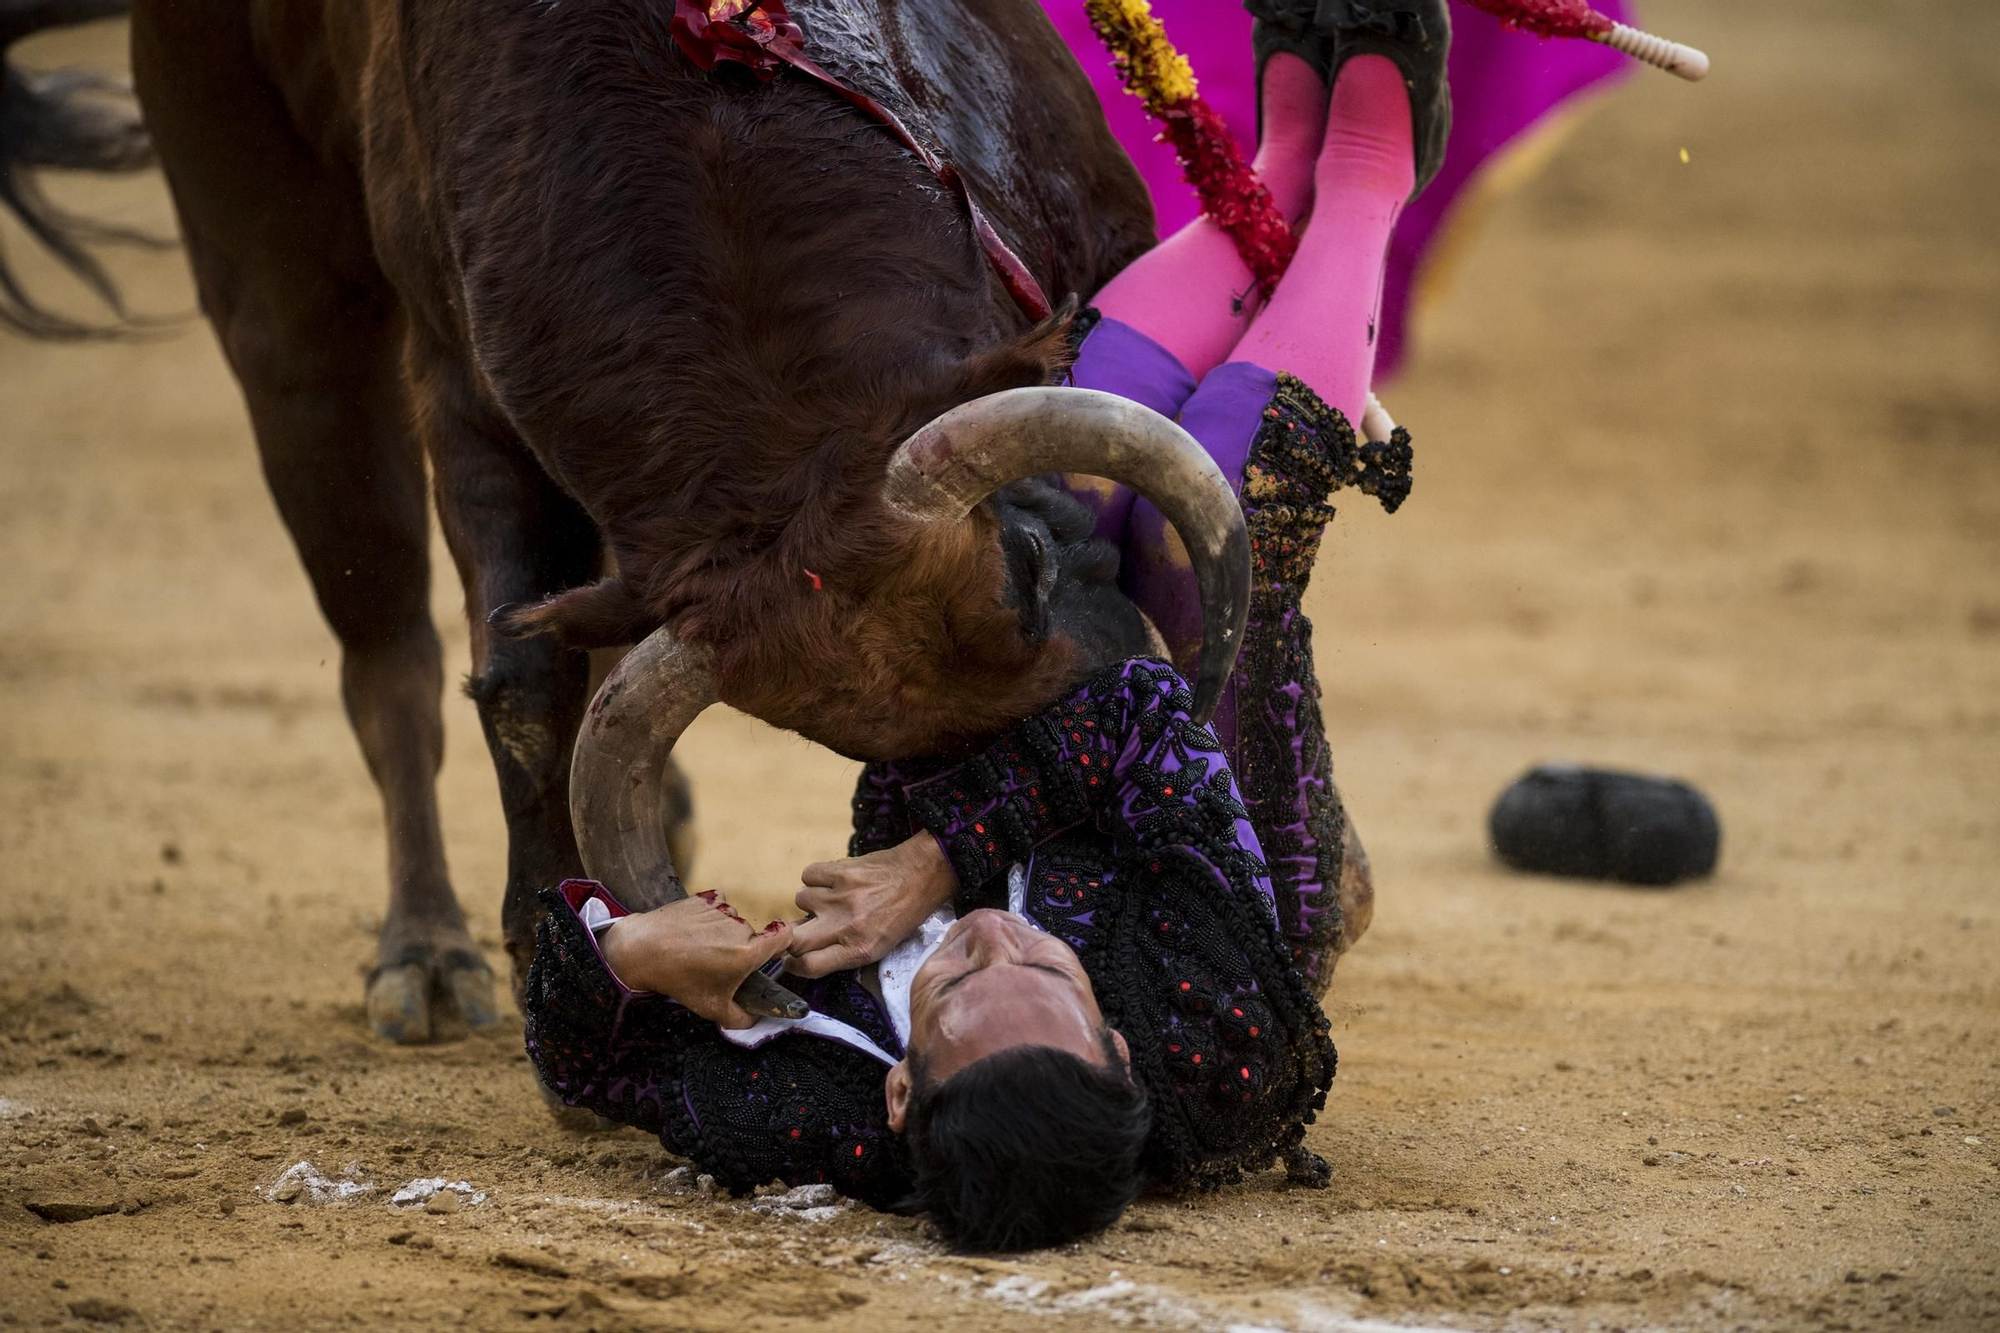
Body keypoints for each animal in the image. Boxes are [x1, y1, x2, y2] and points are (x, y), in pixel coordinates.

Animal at [0, 0, 1248, 1040]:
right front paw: (534, 938)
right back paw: (426, 956)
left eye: (1031, 564)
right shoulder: (464, 400)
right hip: (276, 303)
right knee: (387, 653)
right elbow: (514, 683)